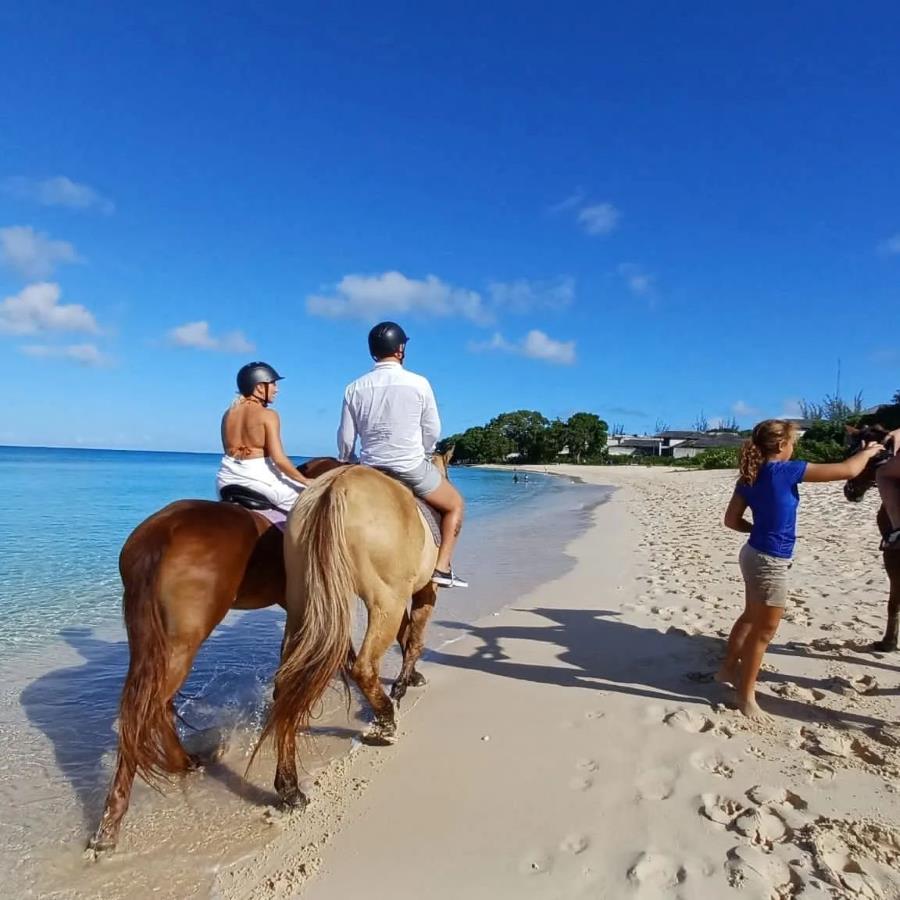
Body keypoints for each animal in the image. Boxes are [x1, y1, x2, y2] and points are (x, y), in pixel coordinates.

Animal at [87, 458, 344, 852]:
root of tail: (160, 533)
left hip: (150, 639)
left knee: (153, 707)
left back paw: (180, 764)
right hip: (182, 641)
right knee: (145, 711)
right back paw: (112, 822)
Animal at [253, 450, 454, 808]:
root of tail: (336, 487)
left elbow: (406, 635)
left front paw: (409, 679)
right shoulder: (425, 589)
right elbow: (414, 637)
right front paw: (403, 685)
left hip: (303, 603)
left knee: (287, 684)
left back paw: (289, 786)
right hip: (385, 601)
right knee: (364, 667)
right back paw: (385, 721)